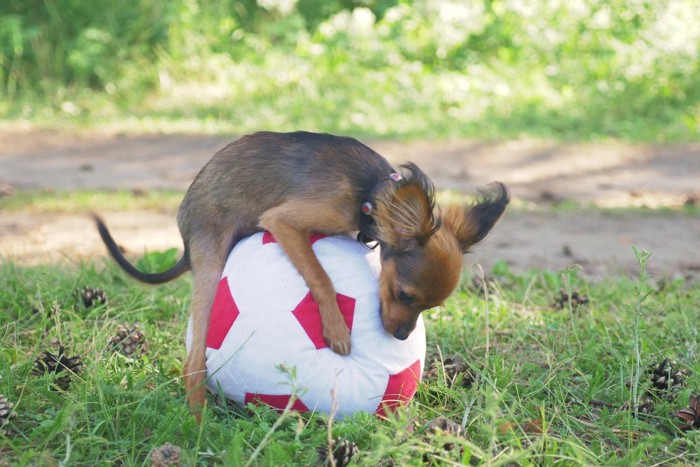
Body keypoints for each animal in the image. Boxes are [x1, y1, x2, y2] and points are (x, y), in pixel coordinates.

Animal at [93, 132, 508, 420]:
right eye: (404, 295)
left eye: (430, 307)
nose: (402, 337)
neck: (370, 192)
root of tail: (184, 228)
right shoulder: (286, 221)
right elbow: (320, 275)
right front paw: (337, 329)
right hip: (212, 265)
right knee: (194, 364)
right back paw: (198, 426)